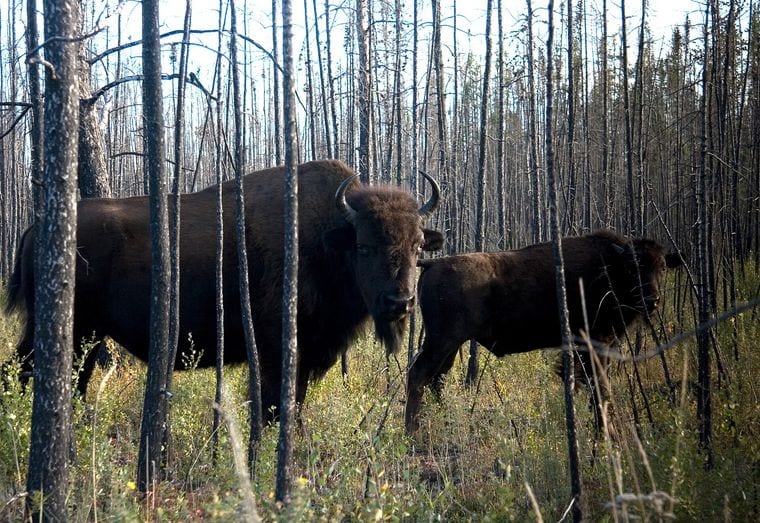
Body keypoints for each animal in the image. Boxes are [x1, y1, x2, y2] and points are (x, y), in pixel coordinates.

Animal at [6, 159, 443, 416]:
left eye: (418, 245)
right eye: (364, 246)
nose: (399, 302)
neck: (326, 237)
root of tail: (35, 226)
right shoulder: (275, 351)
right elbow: (274, 404)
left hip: (89, 334)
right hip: (69, 329)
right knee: (26, 371)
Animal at [405, 230, 682, 434]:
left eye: (662, 267)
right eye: (632, 268)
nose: (652, 300)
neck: (609, 267)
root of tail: (434, 262)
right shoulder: (596, 342)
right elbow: (599, 387)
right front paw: (606, 433)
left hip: (451, 344)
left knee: (437, 378)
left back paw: (443, 418)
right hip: (442, 340)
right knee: (419, 375)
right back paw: (412, 432)